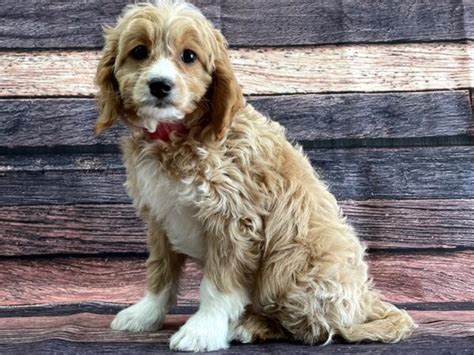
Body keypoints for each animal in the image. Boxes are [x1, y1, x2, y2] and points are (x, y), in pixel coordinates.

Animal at [95, 0, 414, 352]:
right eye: (139, 51)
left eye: (188, 56)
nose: (160, 85)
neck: (175, 136)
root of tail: (365, 302)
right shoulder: (161, 217)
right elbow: (160, 272)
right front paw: (146, 314)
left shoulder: (233, 219)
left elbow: (217, 285)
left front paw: (203, 330)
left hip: (291, 264)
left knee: (313, 328)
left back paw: (250, 326)